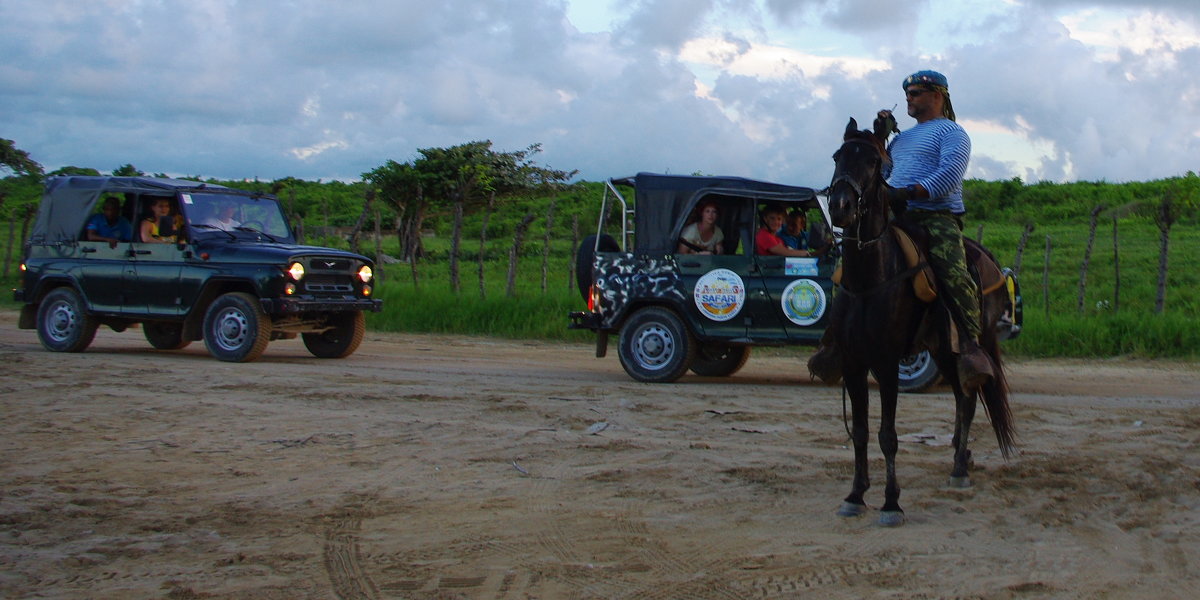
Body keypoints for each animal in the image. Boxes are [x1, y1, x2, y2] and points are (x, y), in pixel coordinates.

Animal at [830, 115, 1017, 525]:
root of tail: (993, 263)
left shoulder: (886, 363)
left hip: (967, 343)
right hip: (942, 350)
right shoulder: (852, 363)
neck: (869, 279)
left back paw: (960, 469)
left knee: (969, 397)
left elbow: (887, 435)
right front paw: (855, 495)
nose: (840, 206)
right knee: (963, 397)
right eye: (837, 156)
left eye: (874, 162)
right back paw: (961, 458)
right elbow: (862, 432)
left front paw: (891, 503)